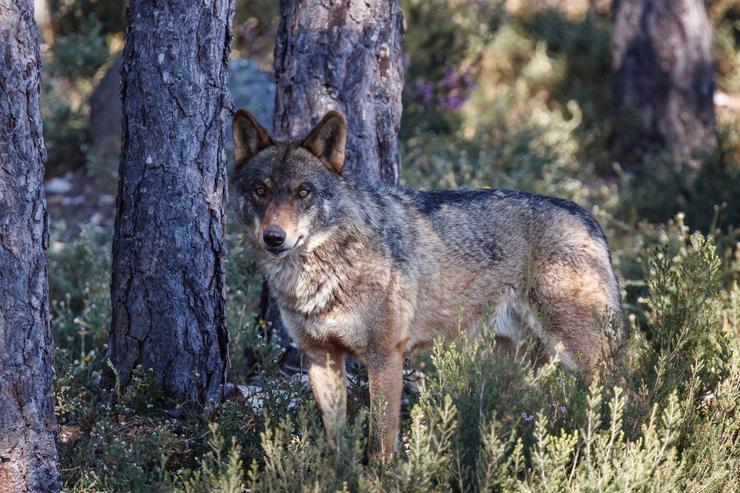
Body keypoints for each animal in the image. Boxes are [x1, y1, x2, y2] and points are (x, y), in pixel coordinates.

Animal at [233, 107, 624, 458]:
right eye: (260, 191)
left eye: (303, 192)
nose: (274, 238)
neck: (318, 275)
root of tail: (588, 217)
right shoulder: (320, 356)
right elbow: (337, 439)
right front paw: (338, 475)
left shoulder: (385, 357)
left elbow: (380, 442)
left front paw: (379, 479)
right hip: (512, 357)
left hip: (580, 352)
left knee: (624, 390)